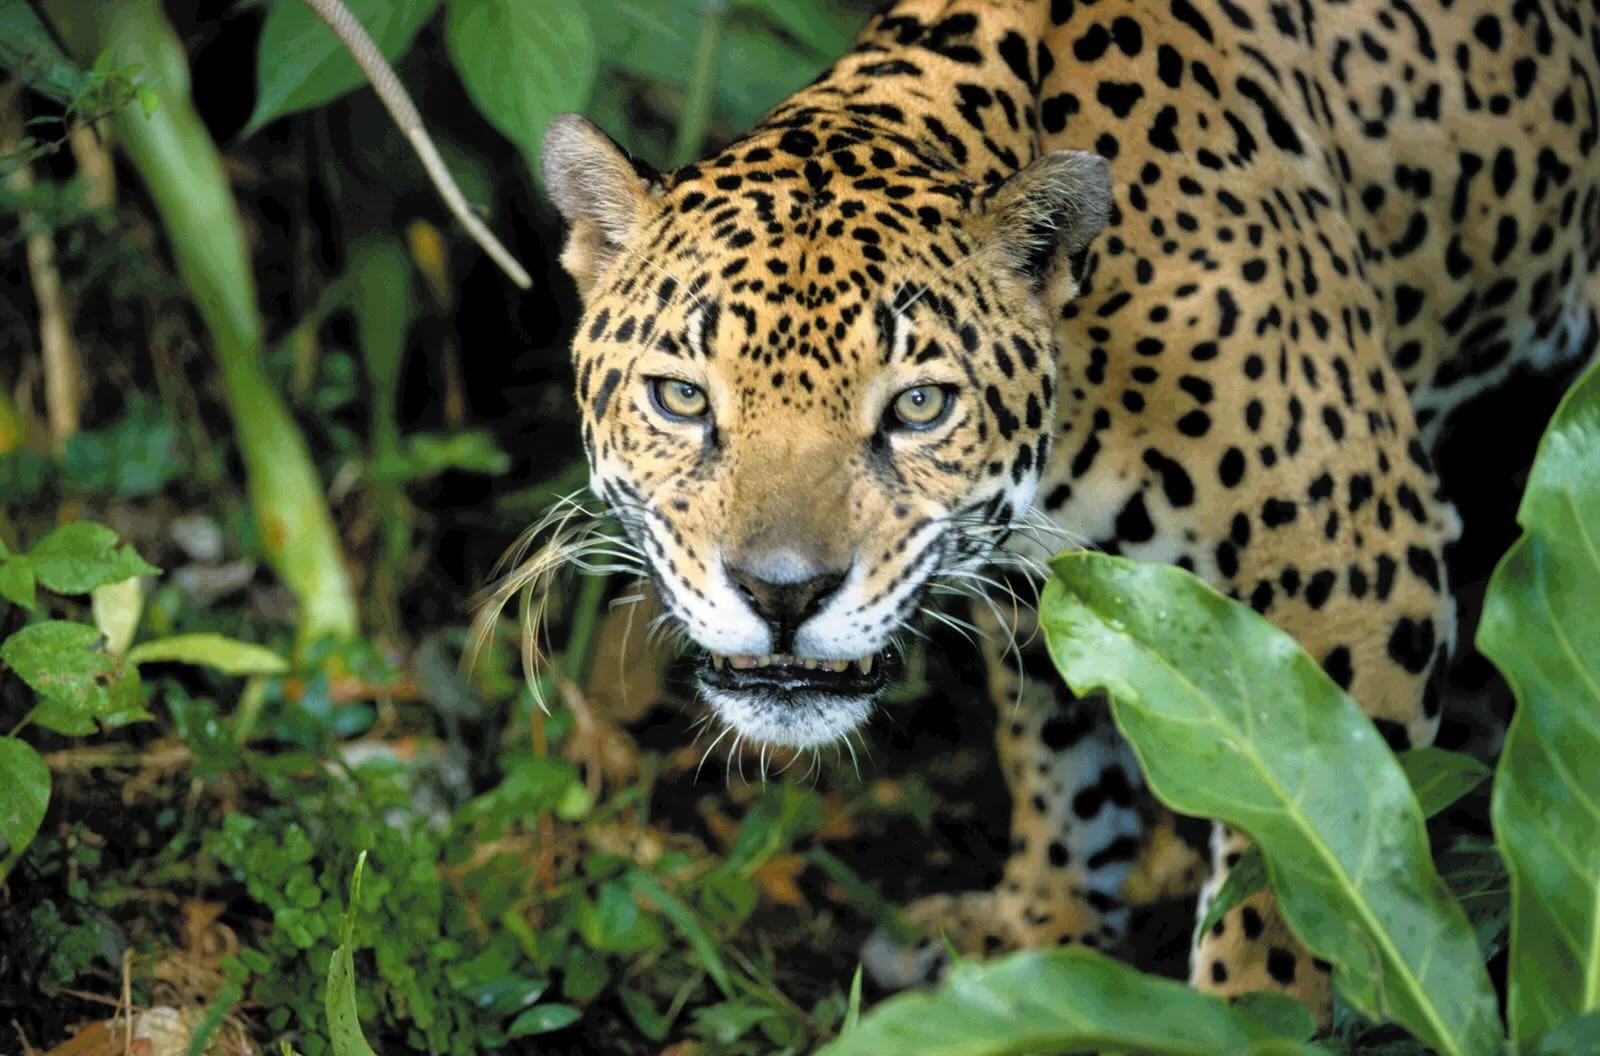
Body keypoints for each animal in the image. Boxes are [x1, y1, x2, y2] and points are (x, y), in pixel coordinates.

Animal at [539, 0, 1600, 1020]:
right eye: (681, 397)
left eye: (919, 407)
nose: (782, 594)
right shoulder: (1058, 586)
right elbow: (1061, 758)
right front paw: (1043, 931)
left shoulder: (1357, 568)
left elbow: (1295, 886)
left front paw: (1247, 1018)